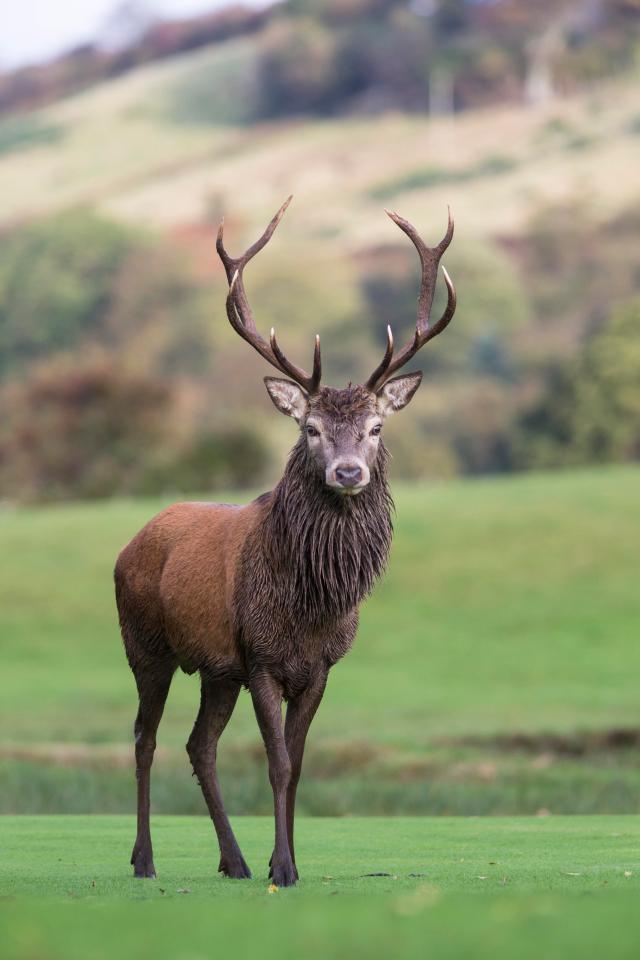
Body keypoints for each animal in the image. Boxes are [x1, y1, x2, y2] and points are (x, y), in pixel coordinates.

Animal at [115, 195, 456, 884]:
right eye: (312, 429)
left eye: (376, 427)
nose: (347, 473)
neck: (310, 606)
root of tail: (128, 545)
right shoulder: (262, 658)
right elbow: (273, 764)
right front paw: (284, 868)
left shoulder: (318, 667)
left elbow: (297, 768)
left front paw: (287, 862)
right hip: (146, 646)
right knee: (145, 738)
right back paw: (145, 859)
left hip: (215, 669)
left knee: (199, 744)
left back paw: (233, 861)